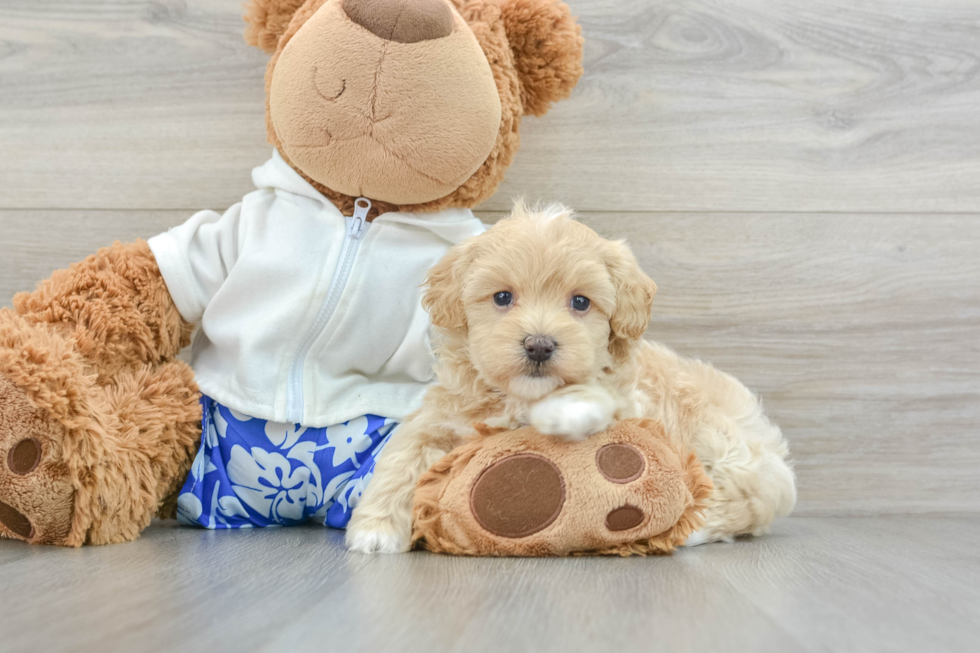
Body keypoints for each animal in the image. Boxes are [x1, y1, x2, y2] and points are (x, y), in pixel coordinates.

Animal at [346, 202, 796, 552]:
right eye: (502, 297)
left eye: (580, 302)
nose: (539, 345)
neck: (519, 397)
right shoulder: (442, 416)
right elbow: (403, 456)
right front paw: (375, 529)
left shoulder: (633, 404)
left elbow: (596, 394)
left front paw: (563, 411)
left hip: (725, 446)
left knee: (744, 498)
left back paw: (692, 526)